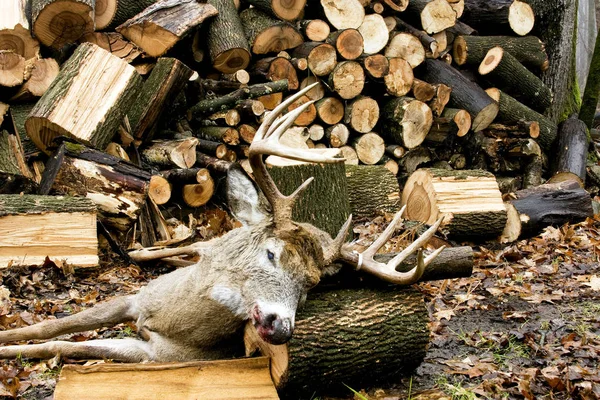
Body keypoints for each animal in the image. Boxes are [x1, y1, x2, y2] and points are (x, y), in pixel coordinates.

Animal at [0, 84, 442, 362]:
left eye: (311, 287)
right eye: (271, 254)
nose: (281, 326)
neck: (167, 320)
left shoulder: (159, 355)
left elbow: (65, 346)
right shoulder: (134, 298)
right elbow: (53, 330)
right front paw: (8, 341)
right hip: (204, 246)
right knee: (188, 246)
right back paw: (142, 251)